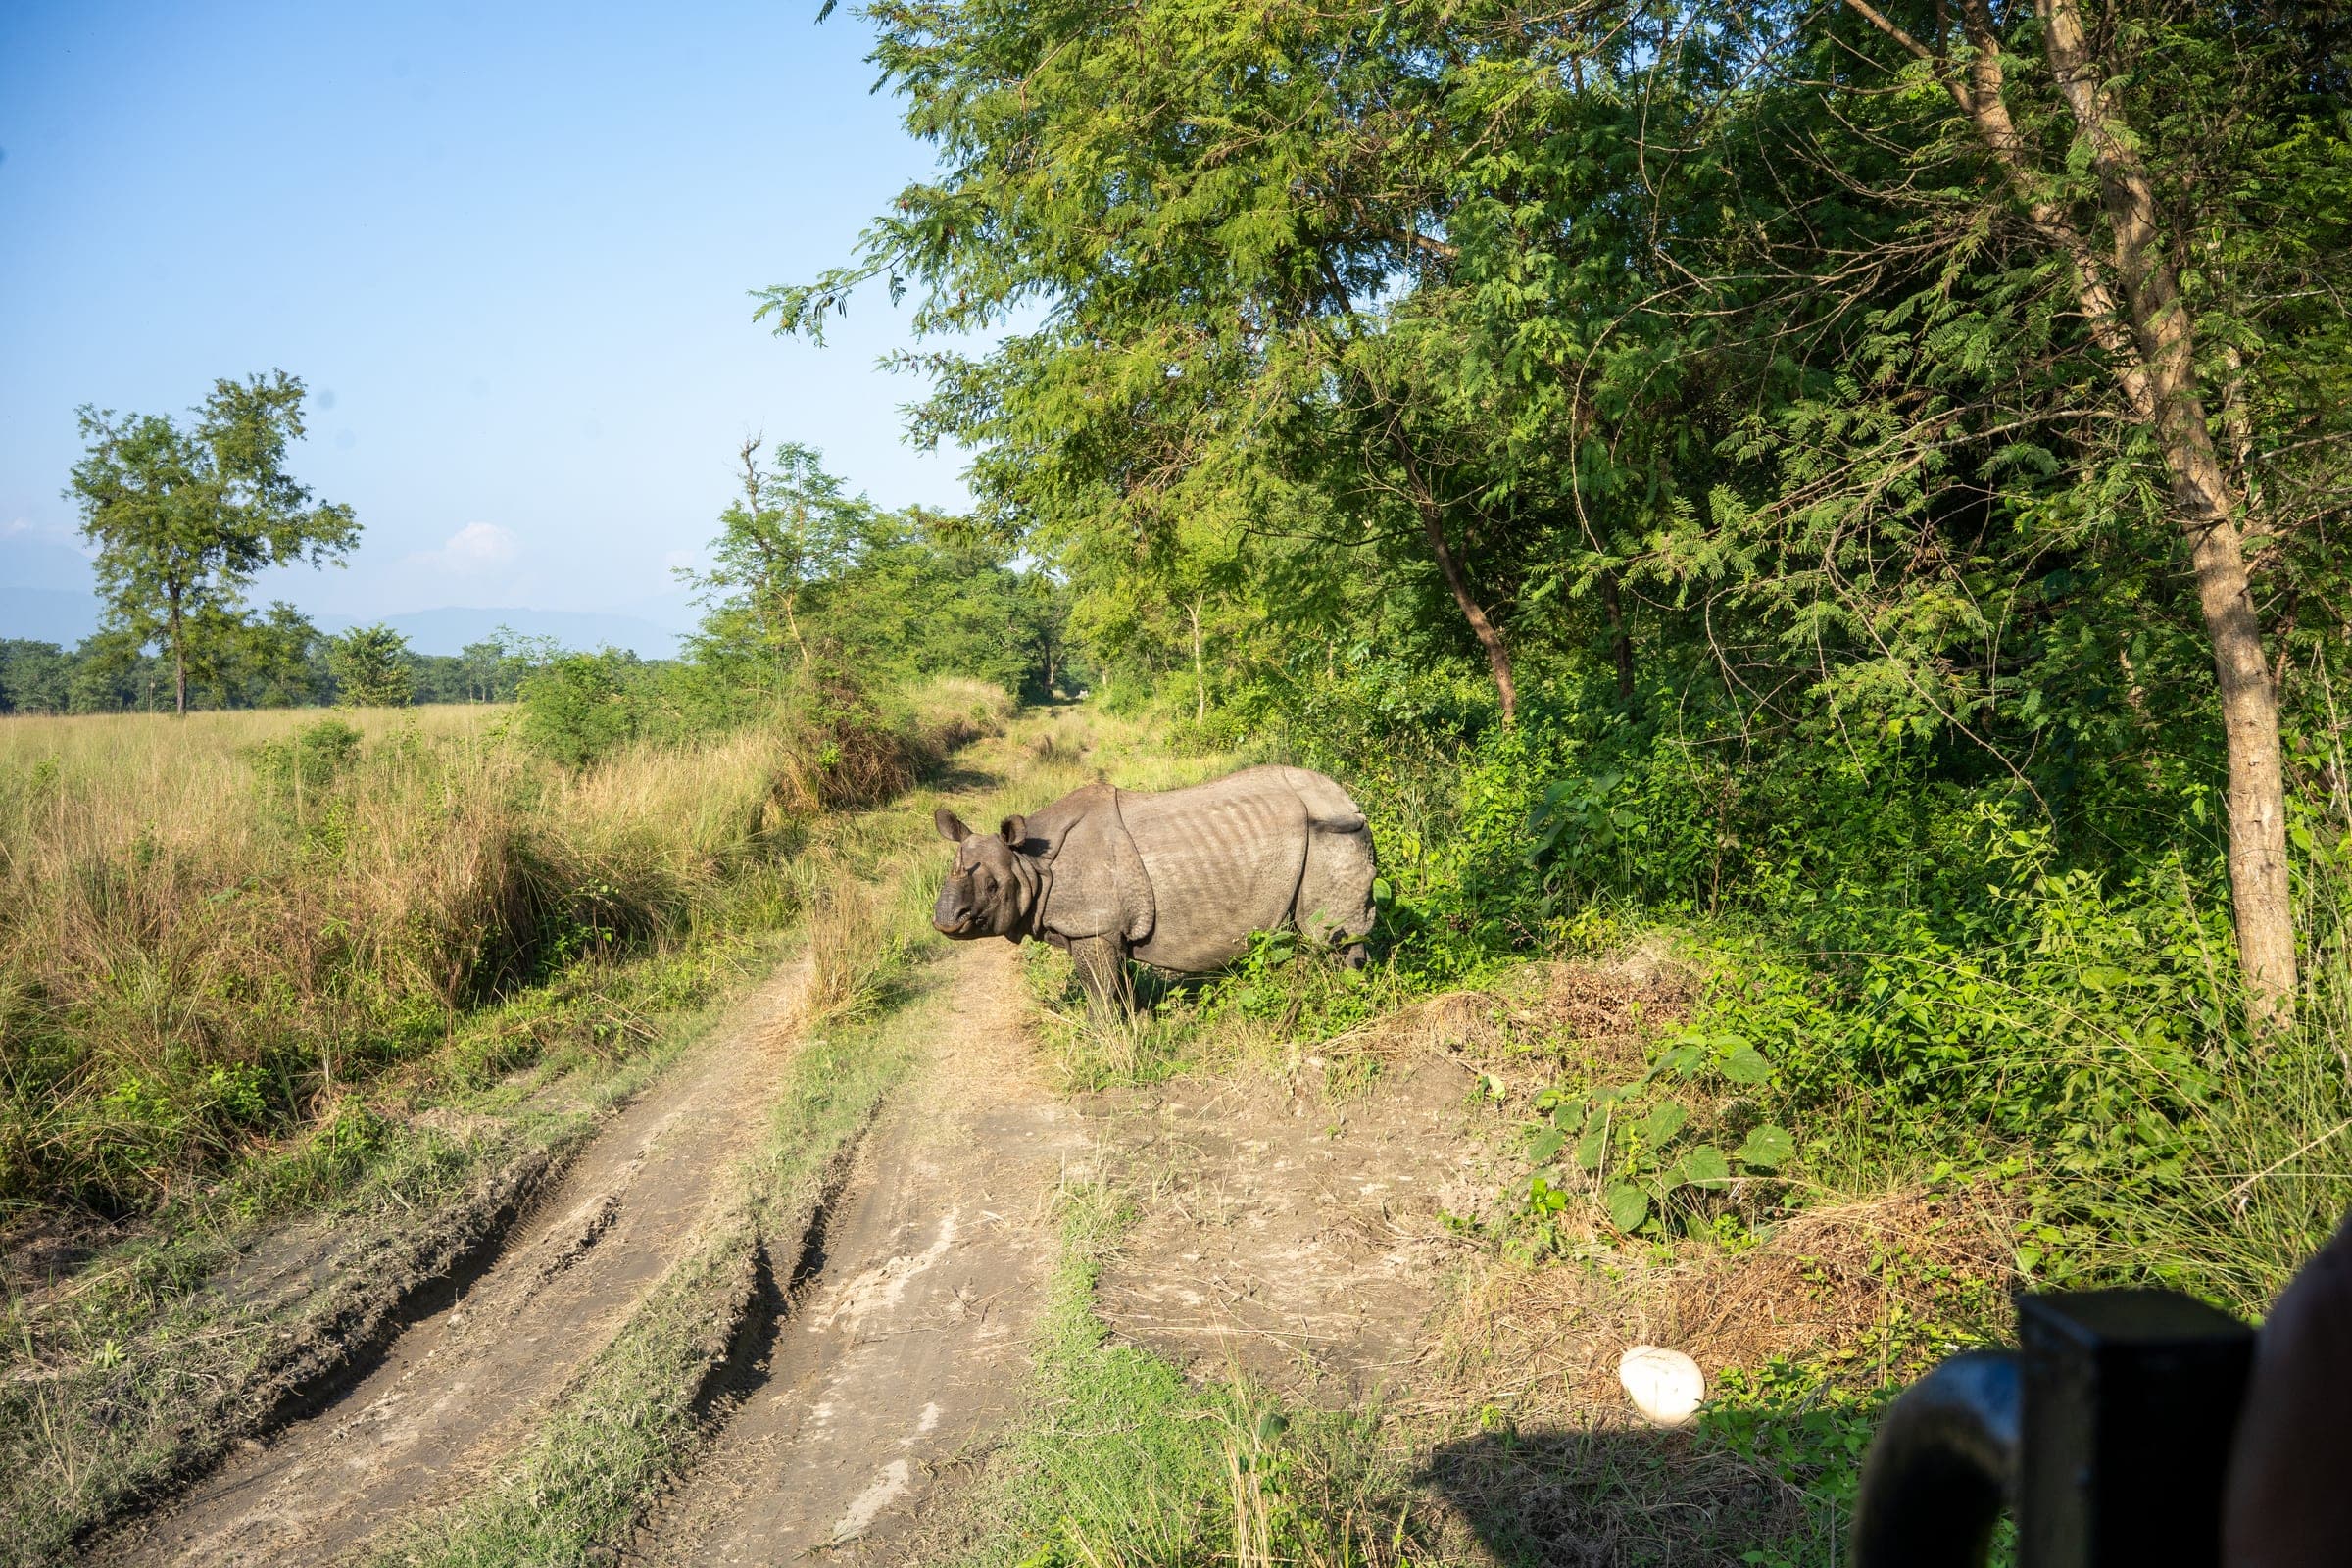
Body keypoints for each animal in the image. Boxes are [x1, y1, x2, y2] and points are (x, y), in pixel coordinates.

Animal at [931, 765, 1378, 1011]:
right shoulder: (1106, 930)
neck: (1031, 863)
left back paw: (1351, 993)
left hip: (1333, 833)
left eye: (993, 887)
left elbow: (1097, 992)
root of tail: (1350, 800)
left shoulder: (1092, 925)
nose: (945, 921)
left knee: (1330, 934)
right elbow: (1118, 986)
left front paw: (1102, 1040)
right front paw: (1136, 1024)